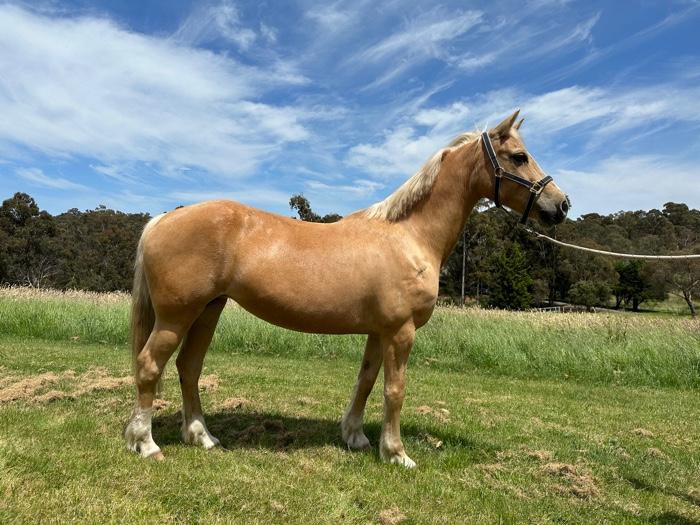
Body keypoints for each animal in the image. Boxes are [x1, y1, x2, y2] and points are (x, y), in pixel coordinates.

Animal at [124, 110, 570, 467]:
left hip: (208, 310)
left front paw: (355, 437)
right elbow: (394, 390)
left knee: (188, 367)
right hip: (176, 316)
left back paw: (202, 437)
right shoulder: (401, 332)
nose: (561, 204)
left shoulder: (379, 331)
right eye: (519, 156)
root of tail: (163, 220)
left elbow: (366, 380)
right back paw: (146, 443)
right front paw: (397, 453)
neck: (410, 235)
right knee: (149, 365)